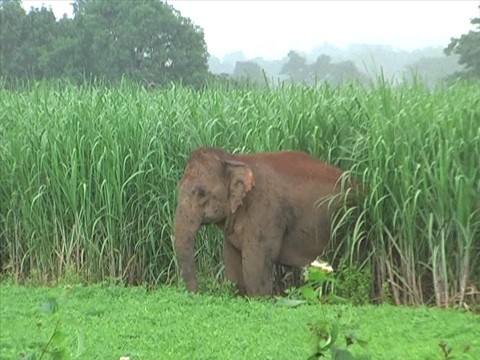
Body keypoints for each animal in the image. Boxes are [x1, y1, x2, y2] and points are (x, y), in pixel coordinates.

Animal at [172, 146, 348, 296]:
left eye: (201, 192)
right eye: (178, 188)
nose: (198, 292)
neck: (236, 160)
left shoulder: (266, 212)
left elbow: (255, 266)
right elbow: (233, 264)